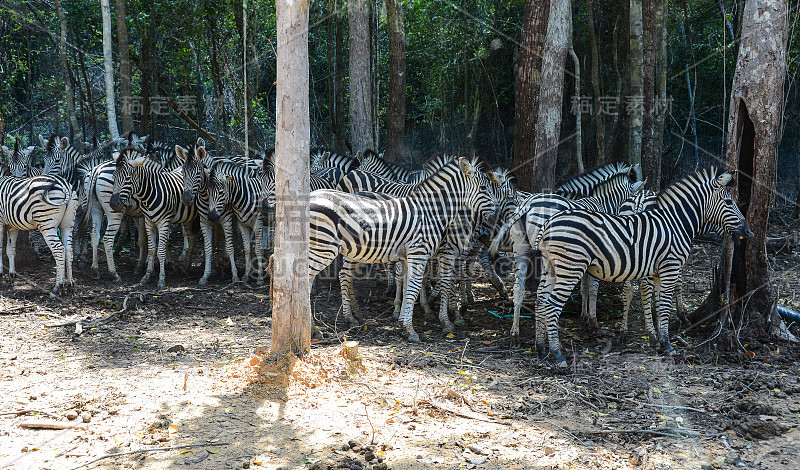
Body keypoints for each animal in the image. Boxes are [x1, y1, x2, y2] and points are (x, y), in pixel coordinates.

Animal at [111, 147, 199, 288]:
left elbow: (160, 251)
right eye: (113, 176)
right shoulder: (149, 222)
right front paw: (146, 276)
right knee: (192, 237)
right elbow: (152, 250)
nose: (113, 204)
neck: (151, 193)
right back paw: (187, 266)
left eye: (128, 178)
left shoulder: (163, 222)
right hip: (188, 217)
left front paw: (161, 279)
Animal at [310, 158, 496, 342]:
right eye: (484, 188)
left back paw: (339, 322)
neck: (431, 213)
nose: (495, 214)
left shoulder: (408, 256)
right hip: (323, 248)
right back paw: (325, 326)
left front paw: (402, 322)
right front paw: (412, 329)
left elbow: (408, 286)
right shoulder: (421, 252)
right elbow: (417, 287)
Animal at [536, 166, 752, 368]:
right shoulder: (670, 266)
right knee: (552, 305)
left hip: (550, 268)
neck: (676, 223)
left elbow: (656, 302)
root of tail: (549, 223)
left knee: (541, 300)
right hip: (570, 268)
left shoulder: (657, 272)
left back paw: (541, 349)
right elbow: (665, 304)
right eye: (729, 203)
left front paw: (659, 340)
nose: (748, 232)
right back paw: (557, 354)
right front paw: (667, 344)